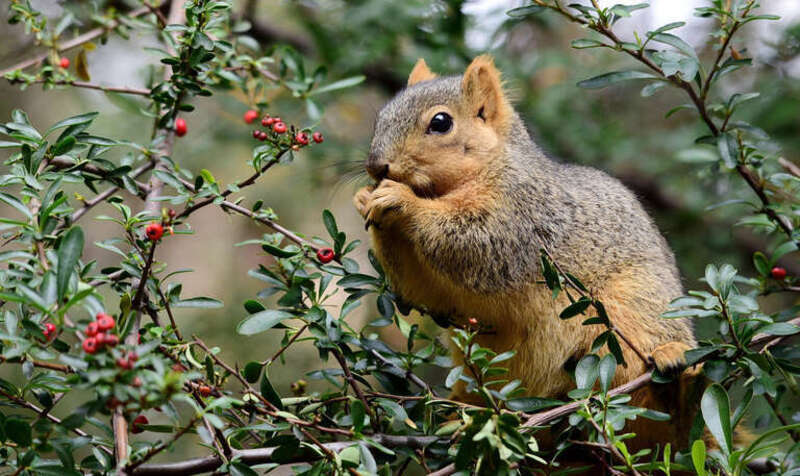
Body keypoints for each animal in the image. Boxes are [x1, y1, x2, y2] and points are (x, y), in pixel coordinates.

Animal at [353, 55, 703, 452]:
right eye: (381, 116)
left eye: (440, 123)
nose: (376, 166)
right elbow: (418, 293)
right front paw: (366, 199)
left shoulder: (521, 214)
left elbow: (474, 242)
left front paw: (400, 200)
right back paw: (458, 416)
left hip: (638, 302)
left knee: (674, 413)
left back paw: (677, 375)